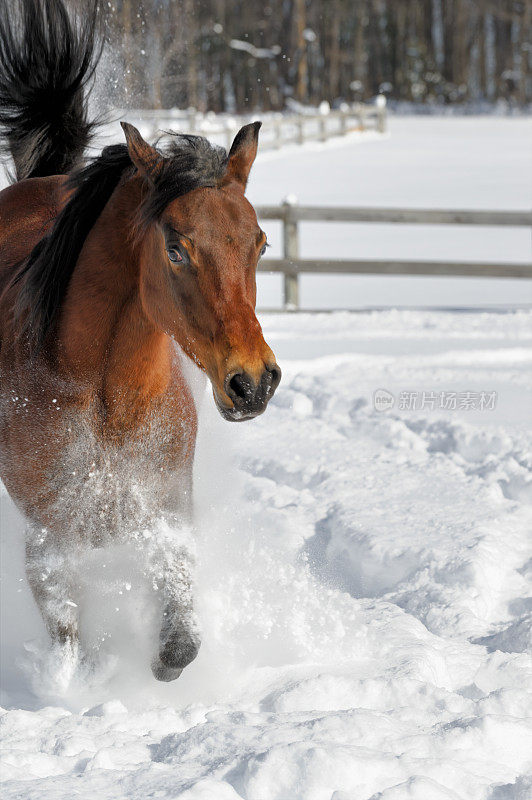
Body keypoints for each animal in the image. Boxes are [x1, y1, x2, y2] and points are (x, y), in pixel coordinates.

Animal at [0, 0, 280, 680]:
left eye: (260, 243)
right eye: (176, 247)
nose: (253, 382)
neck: (108, 400)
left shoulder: (166, 509)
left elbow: (180, 636)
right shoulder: (49, 536)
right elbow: (67, 634)